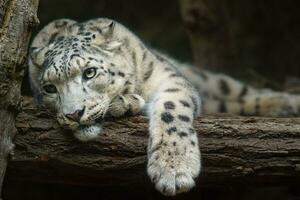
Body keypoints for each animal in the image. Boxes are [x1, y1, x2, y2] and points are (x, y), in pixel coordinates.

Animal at [27, 17, 300, 195]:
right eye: (50, 88)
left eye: (90, 72)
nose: (74, 113)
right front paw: (126, 102)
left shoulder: (169, 78)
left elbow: (171, 109)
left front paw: (174, 169)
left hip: (212, 80)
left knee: (240, 91)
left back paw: (287, 102)